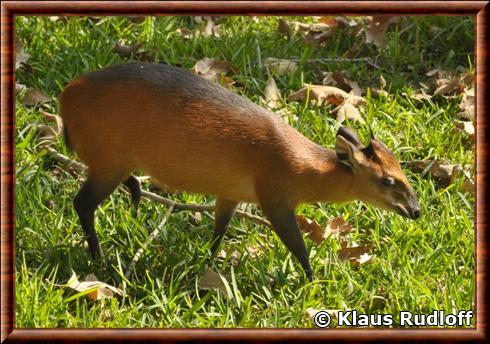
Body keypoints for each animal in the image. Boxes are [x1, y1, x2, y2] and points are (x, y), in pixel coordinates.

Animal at [60, 61, 422, 280]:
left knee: (116, 185)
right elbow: (297, 244)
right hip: (109, 158)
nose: (416, 211)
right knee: (82, 203)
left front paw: (207, 263)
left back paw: (134, 198)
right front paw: (311, 279)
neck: (304, 166)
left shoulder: (231, 193)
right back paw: (98, 257)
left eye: (402, 172)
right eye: (388, 180)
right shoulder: (275, 196)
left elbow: (218, 232)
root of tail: (66, 96)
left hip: (113, 160)